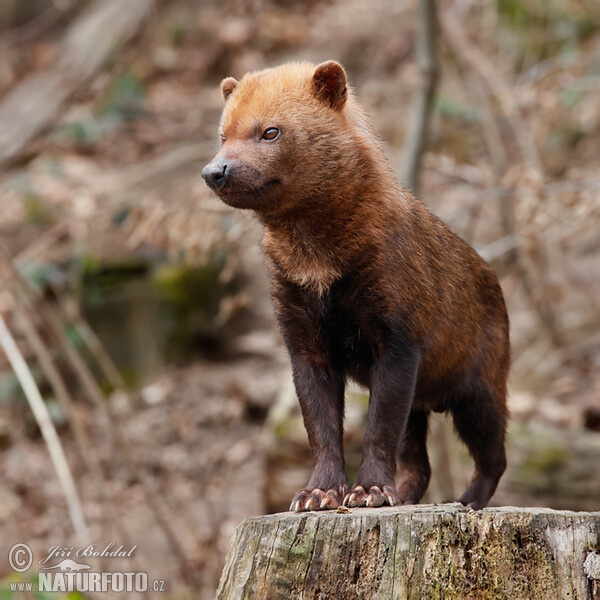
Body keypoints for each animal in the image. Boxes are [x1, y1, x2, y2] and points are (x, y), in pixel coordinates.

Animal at [202, 59, 506, 510]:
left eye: (271, 131)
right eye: (223, 134)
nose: (214, 171)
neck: (319, 269)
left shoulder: (398, 340)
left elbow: (378, 428)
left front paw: (370, 492)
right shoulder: (304, 342)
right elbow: (322, 429)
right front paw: (318, 494)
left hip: (480, 390)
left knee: (493, 457)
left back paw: (465, 502)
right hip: (425, 403)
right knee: (420, 465)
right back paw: (410, 497)